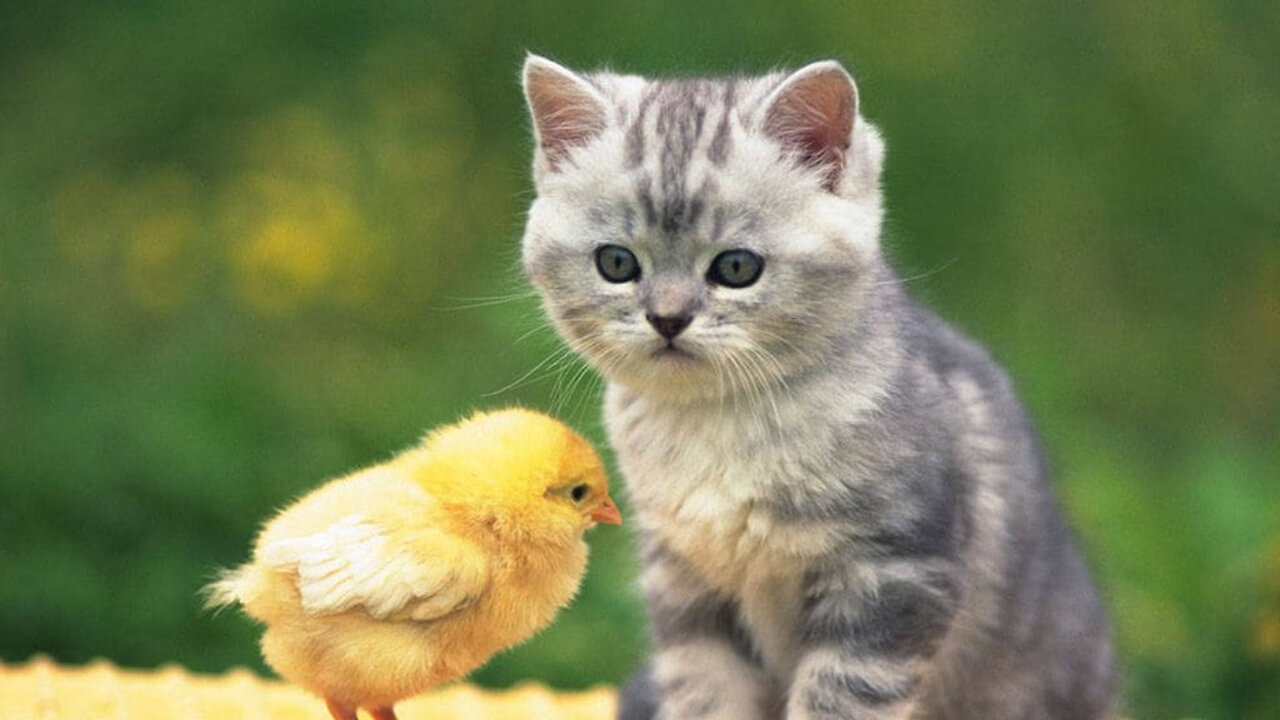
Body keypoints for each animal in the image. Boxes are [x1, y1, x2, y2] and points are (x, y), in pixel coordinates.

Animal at [514, 53, 1116, 712]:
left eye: (736, 267)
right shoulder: (686, 586)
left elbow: (838, 699)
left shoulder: (895, 572)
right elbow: (706, 693)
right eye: (617, 263)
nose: (668, 318)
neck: (717, 426)